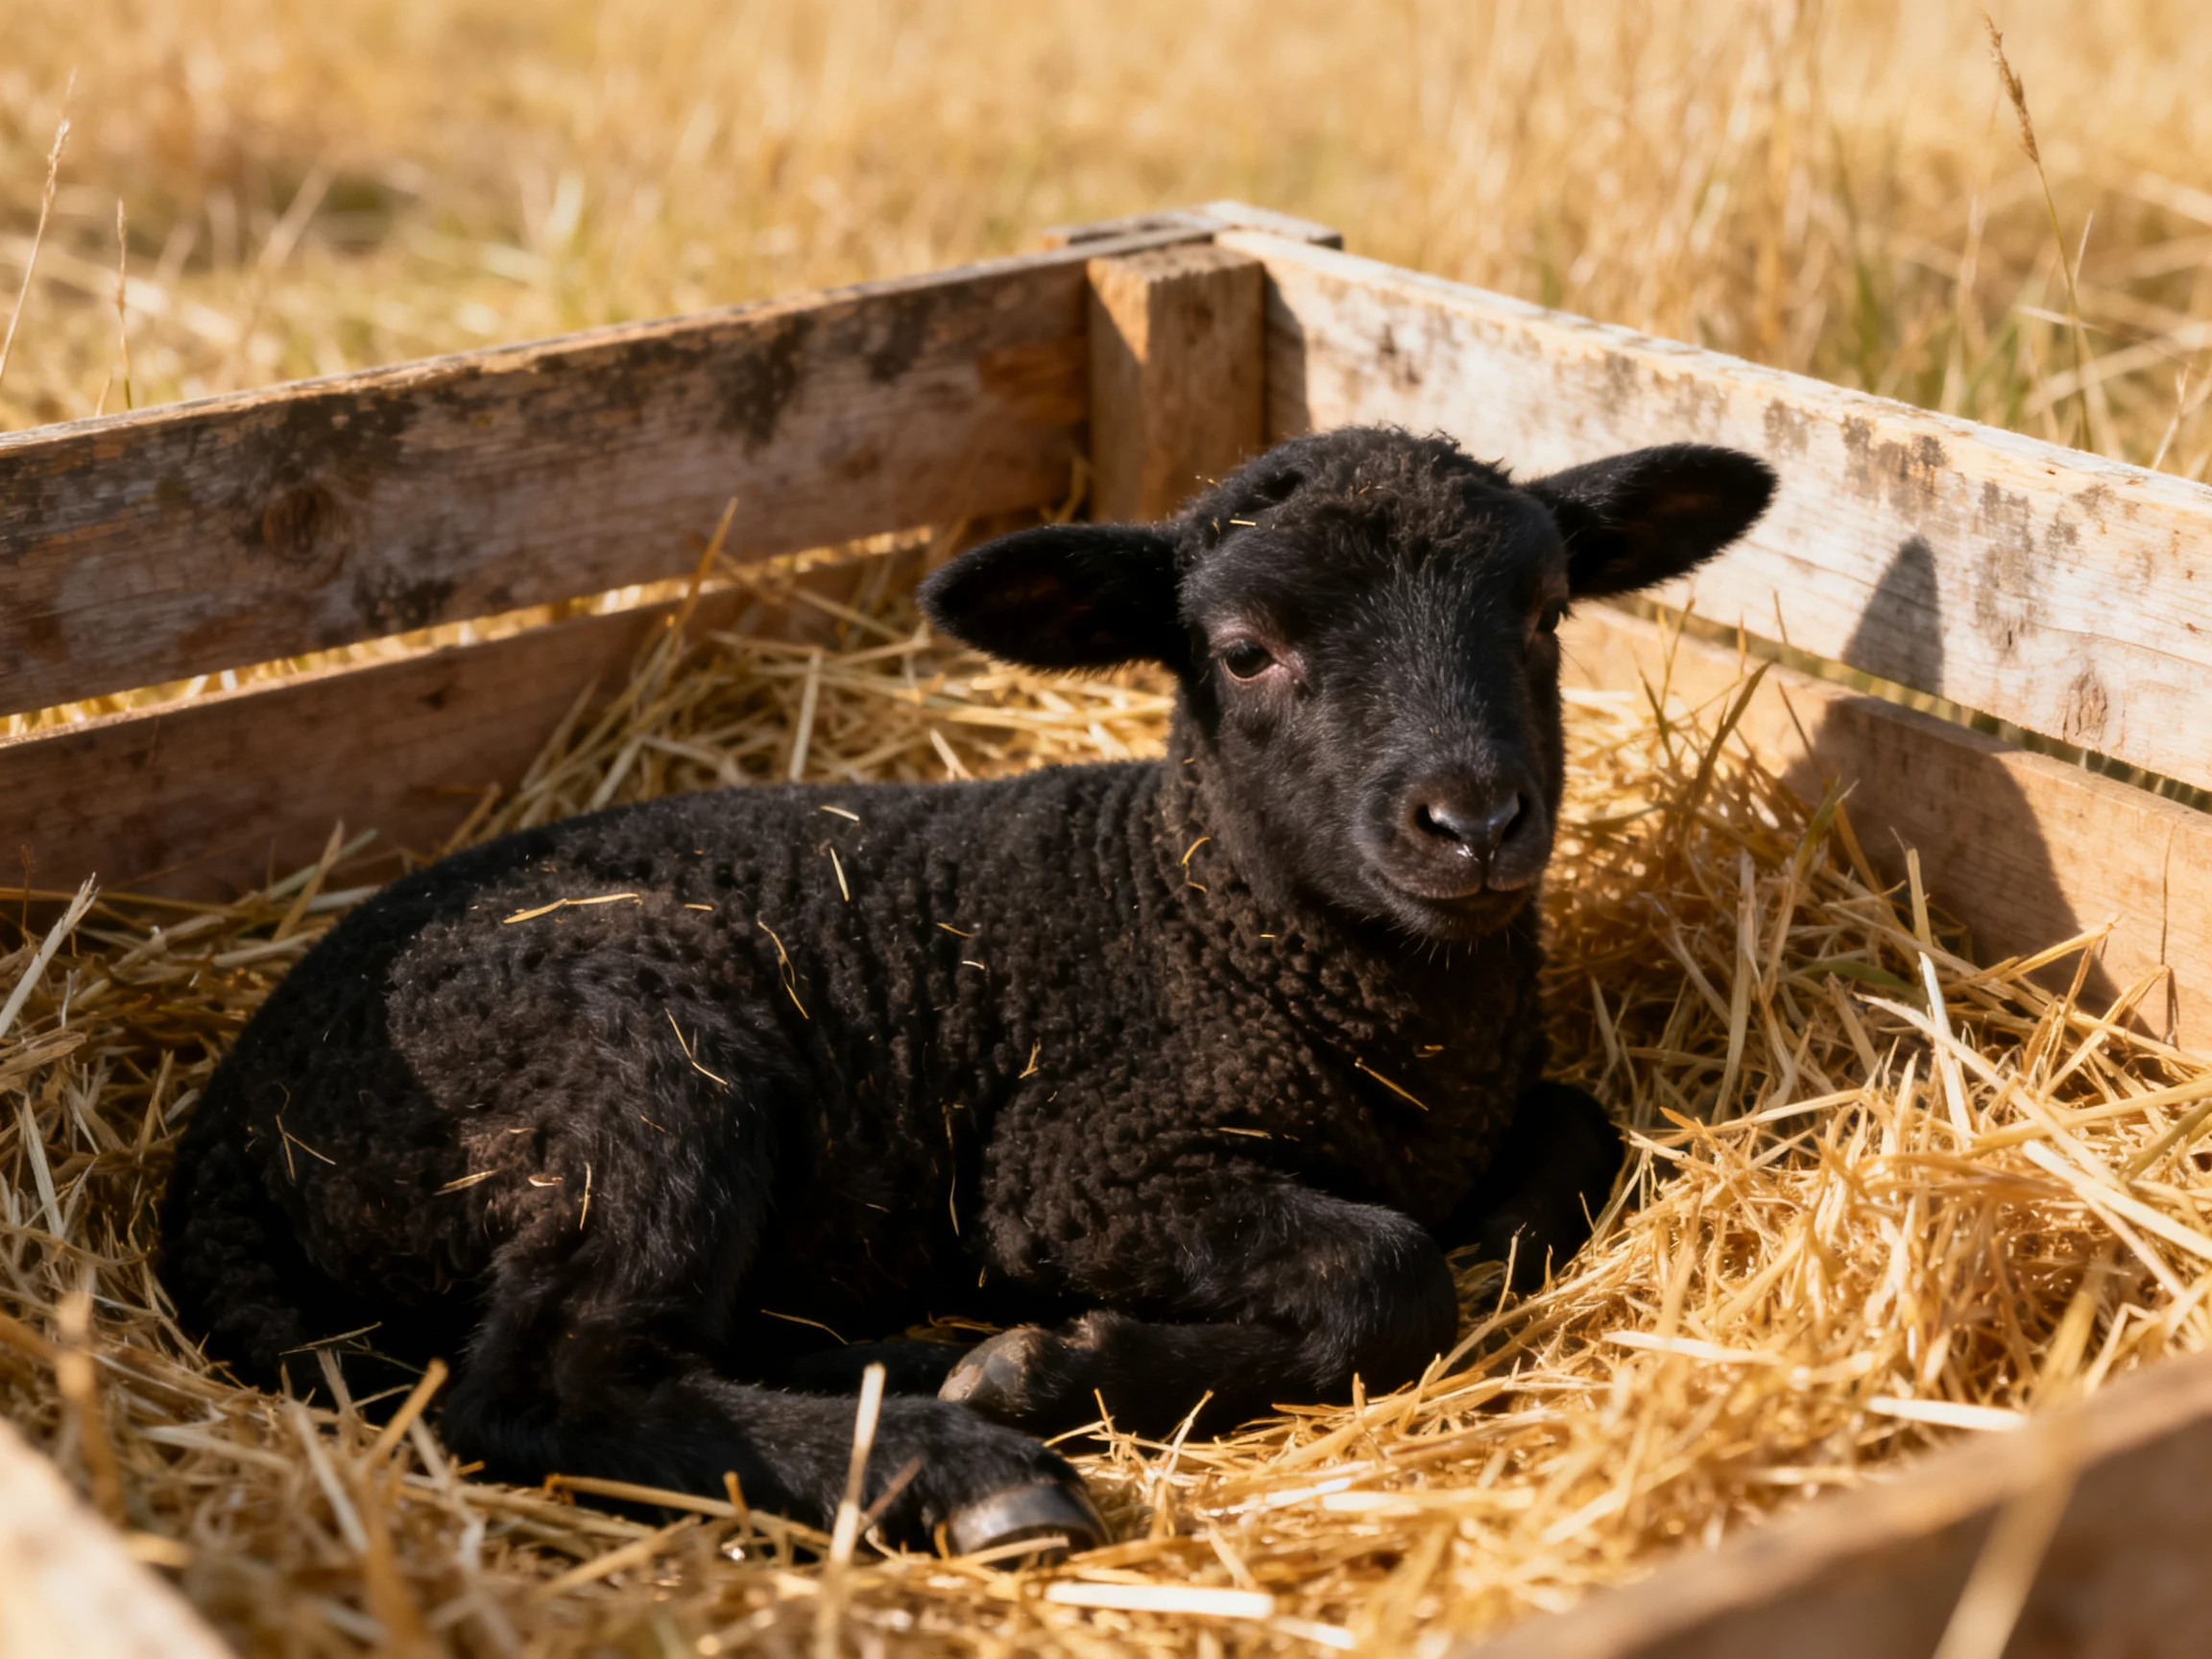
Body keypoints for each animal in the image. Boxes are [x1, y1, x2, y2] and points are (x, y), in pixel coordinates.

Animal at [160, 425, 1775, 1558]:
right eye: (1246, 653)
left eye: (1549, 614)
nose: (1475, 821)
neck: (1210, 922)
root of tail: (227, 1123)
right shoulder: (1078, 1167)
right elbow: (1390, 1271)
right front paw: (1072, 1369)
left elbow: (1573, 1141)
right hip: (625, 1059)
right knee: (551, 1381)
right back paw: (961, 1465)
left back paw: (921, 1368)